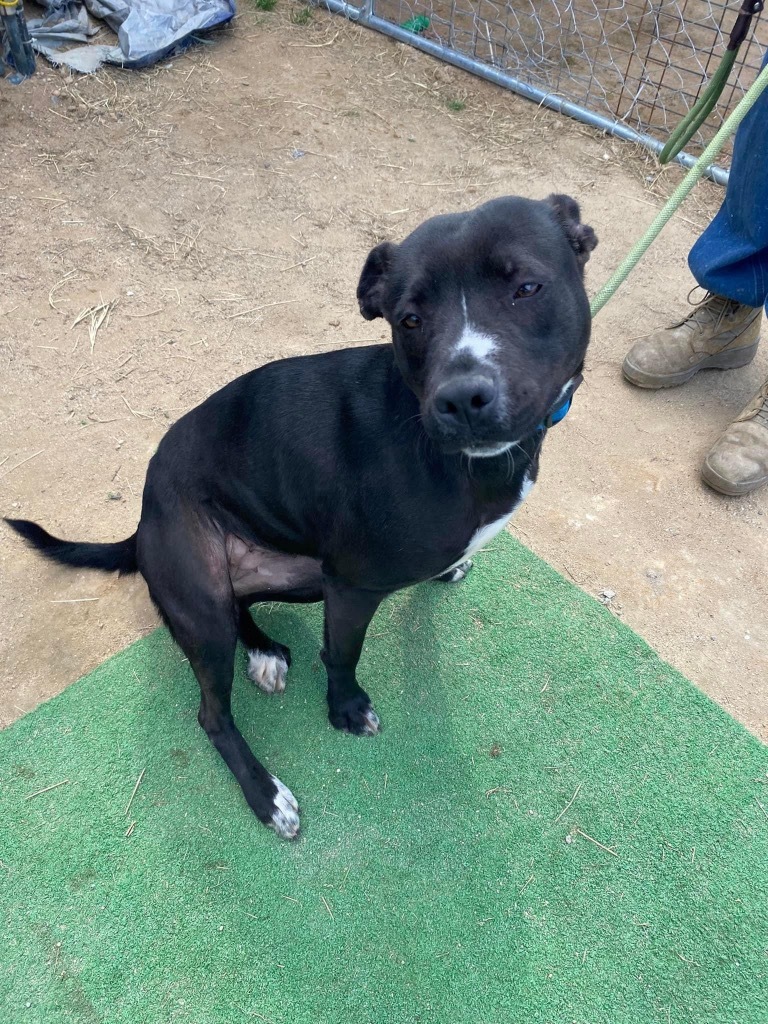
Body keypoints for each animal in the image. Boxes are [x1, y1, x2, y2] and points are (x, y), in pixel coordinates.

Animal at [6, 193, 598, 839]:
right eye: (409, 320)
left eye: (527, 288)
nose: (462, 398)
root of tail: (142, 519)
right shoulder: (351, 584)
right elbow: (341, 654)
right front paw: (345, 710)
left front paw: (449, 570)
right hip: (204, 601)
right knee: (212, 713)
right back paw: (267, 794)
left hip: (291, 574)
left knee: (241, 605)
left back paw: (264, 650)